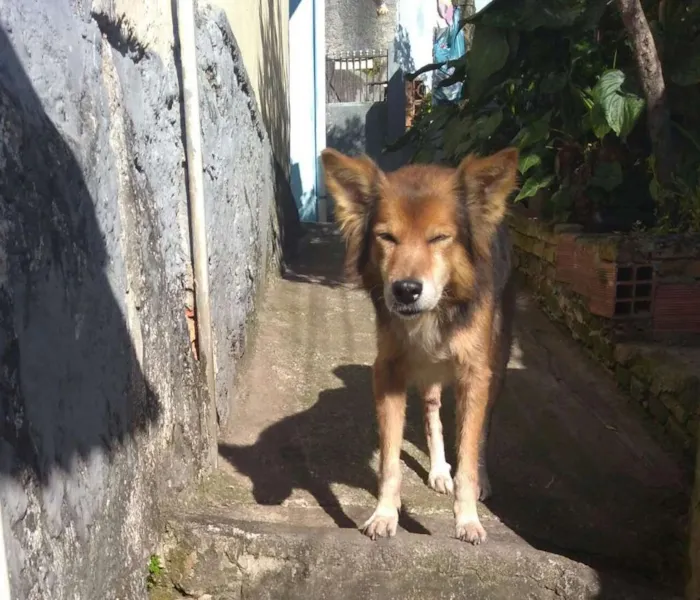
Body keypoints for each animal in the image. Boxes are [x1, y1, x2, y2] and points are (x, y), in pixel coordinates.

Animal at [320, 146, 516, 544]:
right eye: (386, 237)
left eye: (439, 238)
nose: (406, 290)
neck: (435, 310)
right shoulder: (388, 371)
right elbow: (389, 459)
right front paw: (384, 514)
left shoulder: (474, 373)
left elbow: (468, 453)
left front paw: (468, 519)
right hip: (428, 372)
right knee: (431, 414)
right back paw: (439, 470)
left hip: (497, 366)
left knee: (483, 428)